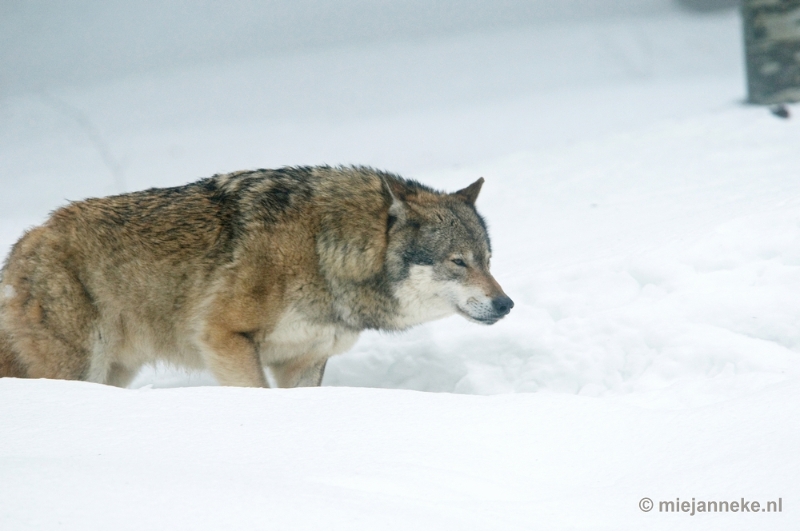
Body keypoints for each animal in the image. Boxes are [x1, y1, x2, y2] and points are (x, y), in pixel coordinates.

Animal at [0, 168, 512, 388]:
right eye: (458, 262)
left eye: (488, 260)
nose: (506, 304)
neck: (322, 248)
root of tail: (25, 244)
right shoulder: (224, 337)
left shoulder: (304, 360)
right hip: (80, 367)